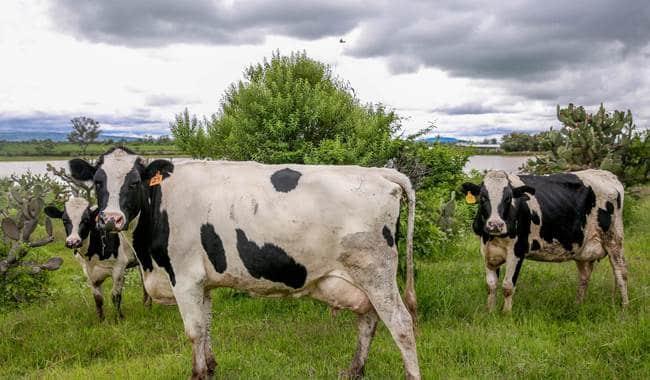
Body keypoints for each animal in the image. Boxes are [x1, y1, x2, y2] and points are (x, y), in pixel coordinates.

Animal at [68, 148, 418, 380]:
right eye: (98, 182)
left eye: (134, 182)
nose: (110, 219)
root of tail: (379, 172)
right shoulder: (203, 282)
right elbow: (207, 326)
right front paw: (210, 367)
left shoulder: (185, 276)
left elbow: (194, 331)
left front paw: (197, 373)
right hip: (363, 279)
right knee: (369, 319)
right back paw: (354, 370)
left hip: (376, 273)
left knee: (401, 324)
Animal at [458, 169, 624, 312]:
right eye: (483, 197)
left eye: (508, 198)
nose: (495, 225)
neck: (493, 237)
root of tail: (608, 175)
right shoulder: (487, 251)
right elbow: (491, 285)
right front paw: (490, 311)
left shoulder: (517, 251)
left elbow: (507, 286)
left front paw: (506, 313)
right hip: (582, 248)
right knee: (584, 276)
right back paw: (578, 304)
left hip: (614, 238)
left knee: (621, 272)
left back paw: (624, 308)